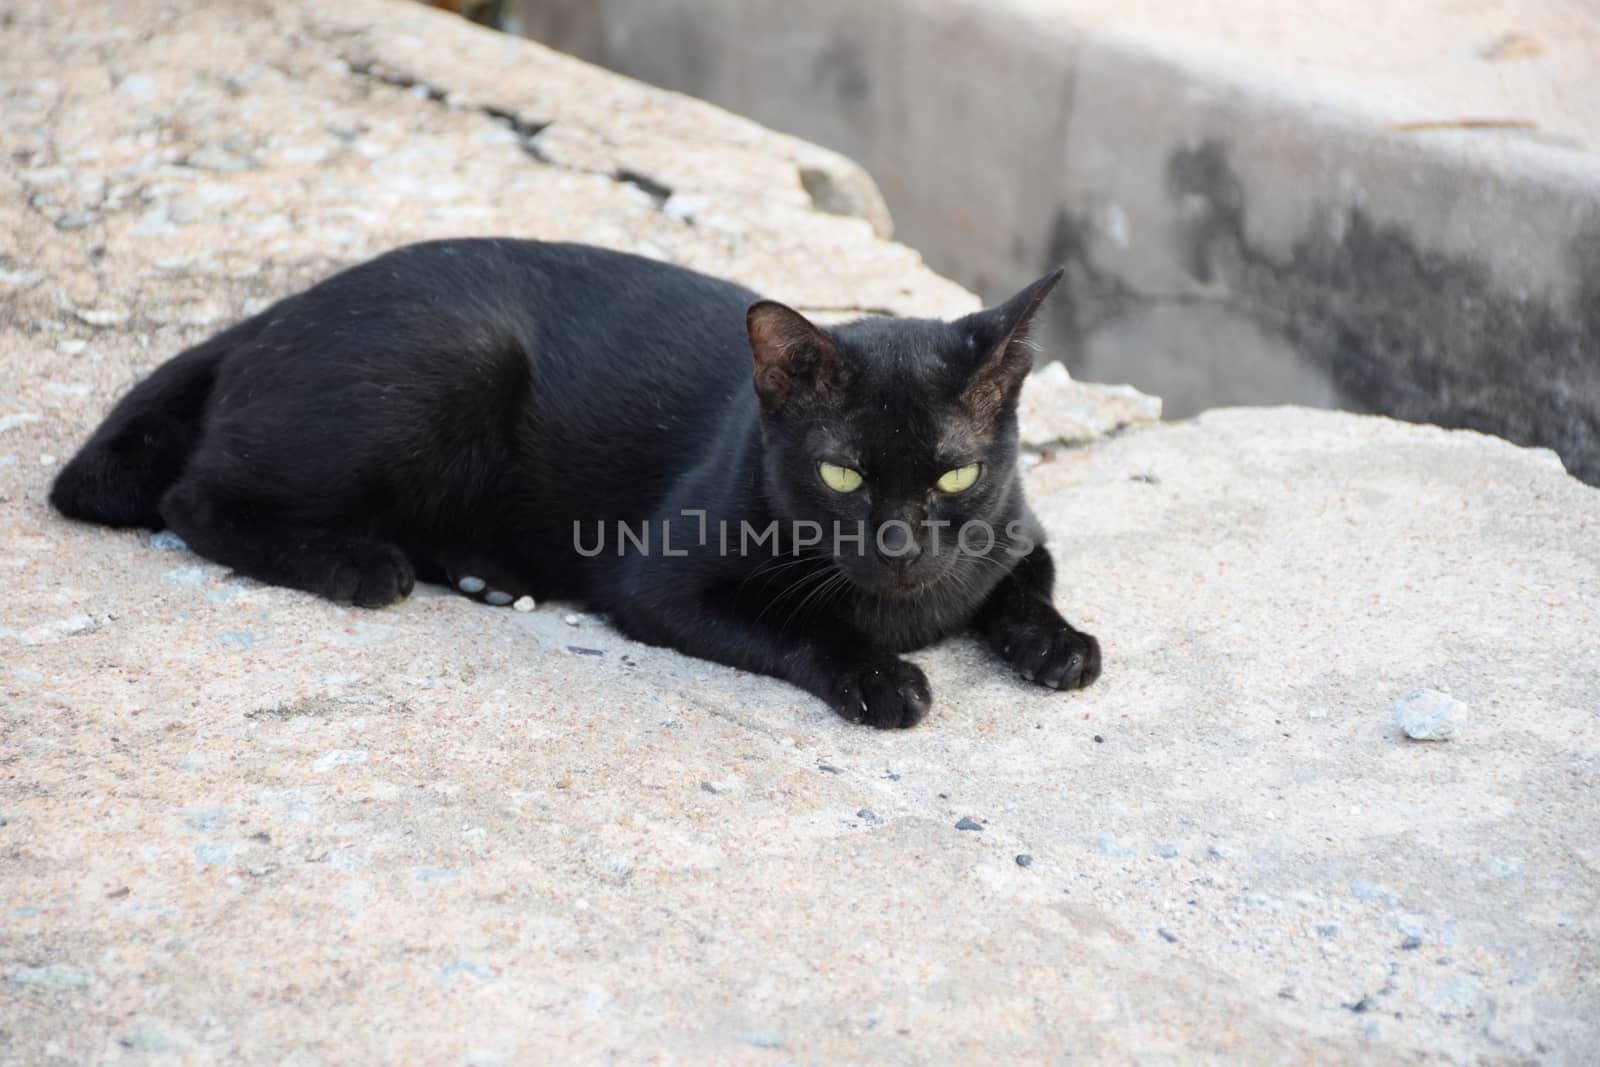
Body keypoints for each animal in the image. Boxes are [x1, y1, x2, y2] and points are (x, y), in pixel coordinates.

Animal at [50, 241, 1100, 726]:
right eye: (841, 474)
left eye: (956, 473)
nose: (900, 548)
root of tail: (281, 306)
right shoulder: (658, 585)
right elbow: (804, 626)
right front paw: (882, 677)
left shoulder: (1017, 528)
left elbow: (1027, 585)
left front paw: (1060, 647)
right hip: (457, 360)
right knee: (195, 497)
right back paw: (362, 565)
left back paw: (485, 572)